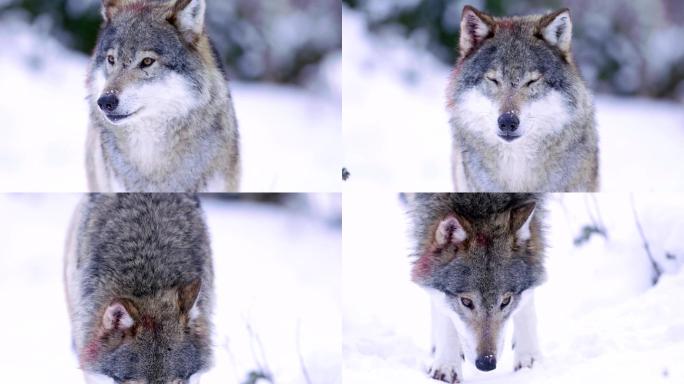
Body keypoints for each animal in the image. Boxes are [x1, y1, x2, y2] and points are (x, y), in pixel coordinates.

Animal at [408, 194, 548, 382]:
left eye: (506, 301)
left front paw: (530, 359)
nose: (486, 363)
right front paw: (446, 366)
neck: (483, 202)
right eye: (466, 302)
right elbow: (444, 310)